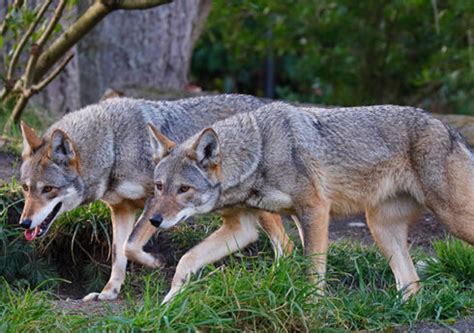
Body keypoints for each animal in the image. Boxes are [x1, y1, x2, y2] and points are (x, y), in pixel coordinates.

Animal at [17, 94, 292, 300]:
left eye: (48, 189)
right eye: (26, 189)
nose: (24, 223)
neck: (115, 145)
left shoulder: (153, 201)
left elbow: (130, 246)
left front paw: (156, 262)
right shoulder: (121, 209)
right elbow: (118, 253)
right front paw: (109, 292)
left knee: (286, 245)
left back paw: (275, 282)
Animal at [131, 101, 474, 300]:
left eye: (183, 189)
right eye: (159, 187)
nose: (155, 220)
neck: (258, 154)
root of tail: (449, 128)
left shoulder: (315, 210)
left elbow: (313, 271)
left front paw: (313, 309)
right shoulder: (243, 229)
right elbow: (187, 261)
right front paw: (169, 303)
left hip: (452, 219)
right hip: (380, 228)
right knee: (412, 284)